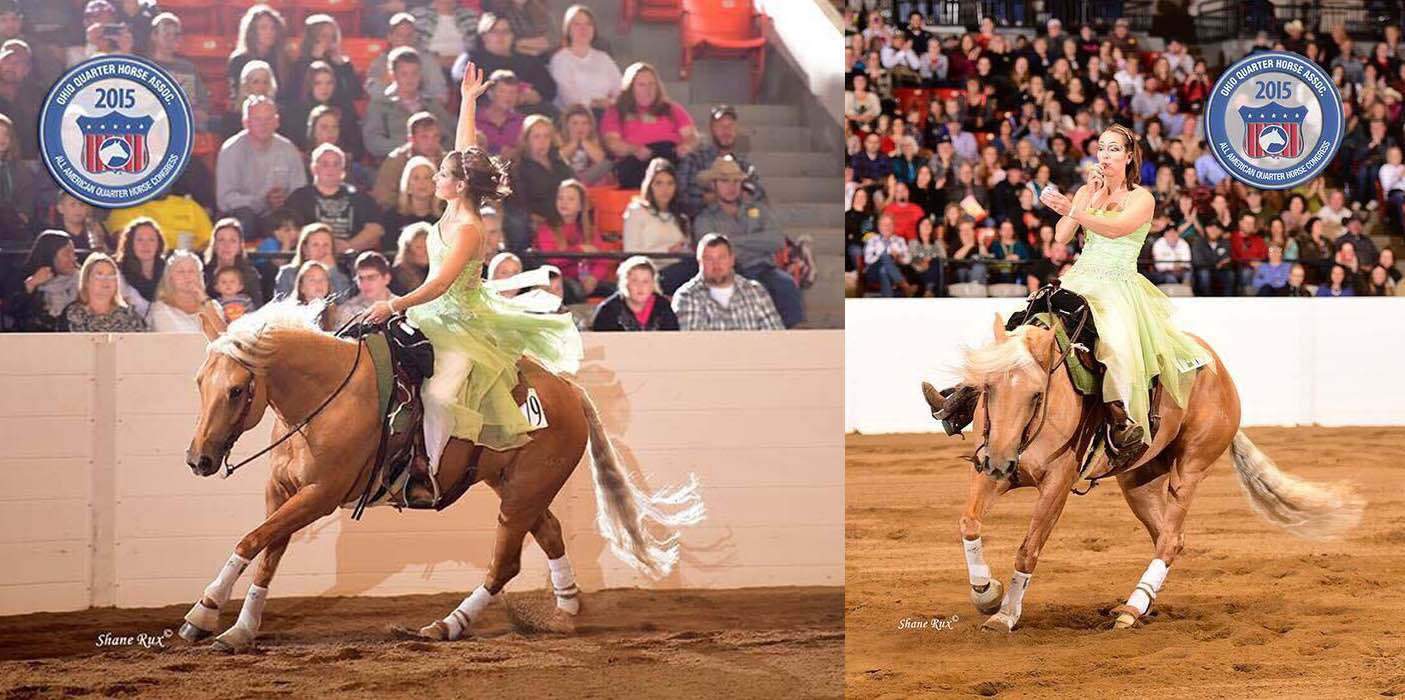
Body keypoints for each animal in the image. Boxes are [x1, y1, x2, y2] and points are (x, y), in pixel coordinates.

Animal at [175, 299, 702, 649]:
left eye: (238, 390)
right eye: (199, 382)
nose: (198, 459)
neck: (326, 396)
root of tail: (568, 390)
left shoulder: (320, 496)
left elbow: (251, 541)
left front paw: (204, 612)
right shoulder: (282, 492)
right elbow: (267, 551)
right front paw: (239, 628)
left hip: (523, 493)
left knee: (504, 565)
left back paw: (449, 624)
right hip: (518, 488)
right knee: (551, 534)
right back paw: (566, 613)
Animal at [955, 314, 1360, 632]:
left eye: (1037, 395)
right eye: (987, 387)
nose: (1000, 460)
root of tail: (1218, 369)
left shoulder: (1057, 483)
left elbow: (1028, 549)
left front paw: (1005, 614)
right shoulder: (988, 467)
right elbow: (969, 522)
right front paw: (986, 594)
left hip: (1190, 468)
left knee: (1169, 538)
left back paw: (1132, 611)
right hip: (1138, 479)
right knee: (1169, 537)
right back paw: (1142, 603)